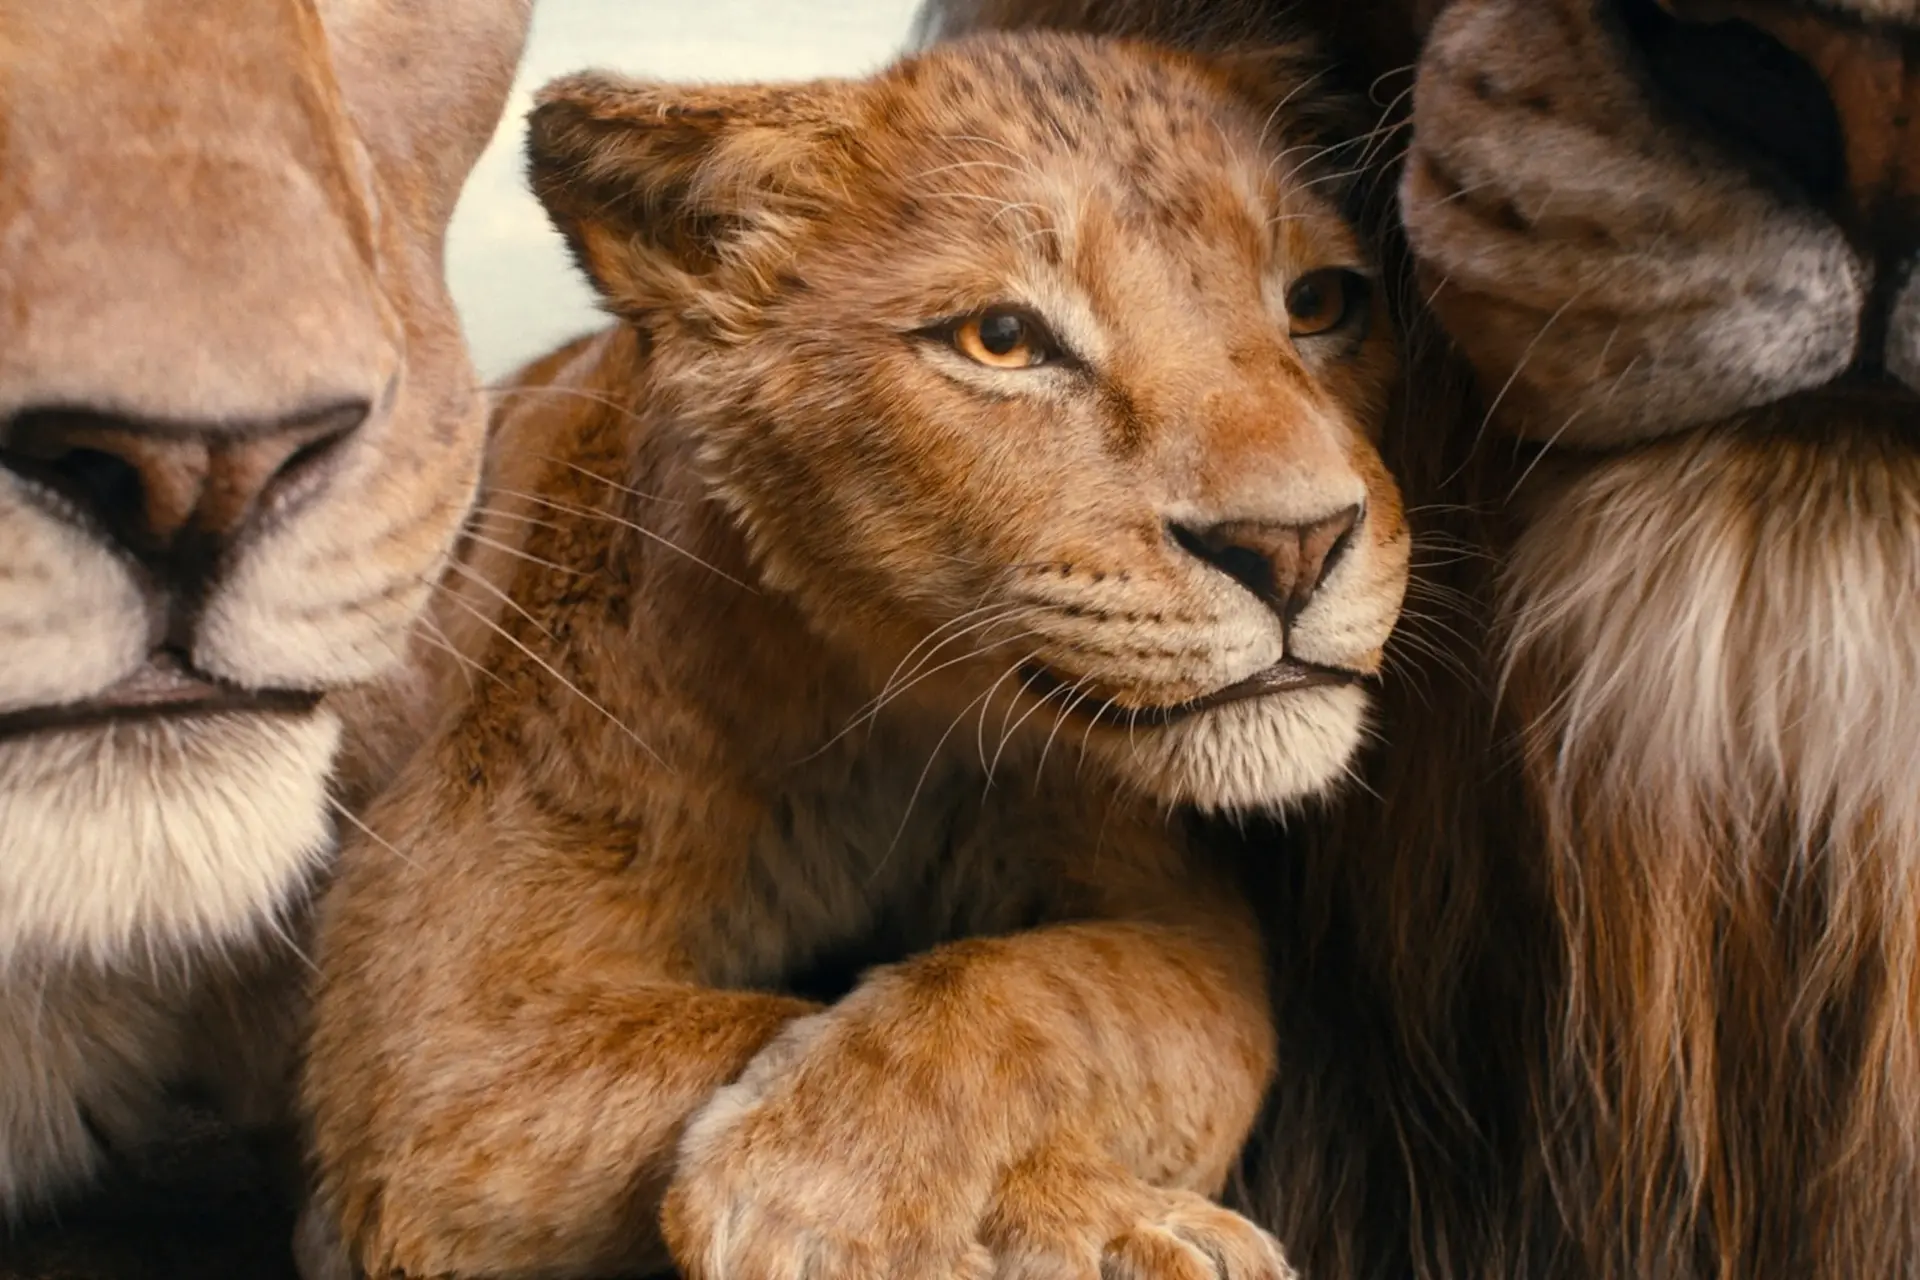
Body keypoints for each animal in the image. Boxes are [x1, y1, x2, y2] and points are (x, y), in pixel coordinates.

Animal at [298, 30, 1409, 1279]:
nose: (1294, 546)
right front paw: (868, 1201)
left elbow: (1077, 994)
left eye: (1320, 301)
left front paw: (835, 1173)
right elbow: (738, 1023)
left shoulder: (1177, 913)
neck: (889, 719)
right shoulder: (440, 1026)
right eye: (1001, 340)